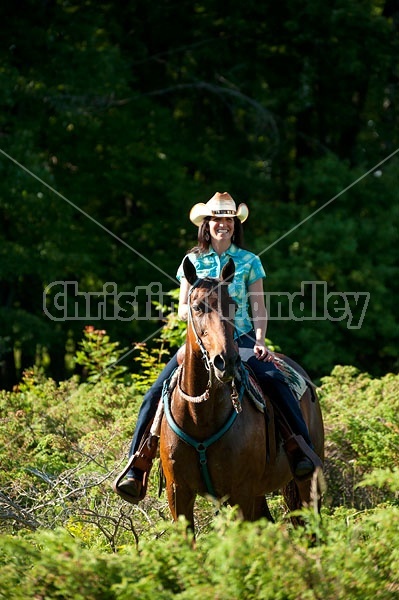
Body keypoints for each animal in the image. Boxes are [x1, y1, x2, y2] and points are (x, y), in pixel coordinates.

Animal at [159, 256, 324, 528]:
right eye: (197, 307)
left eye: (233, 306)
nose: (226, 361)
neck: (200, 417)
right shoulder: (178, 493)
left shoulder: (240, 493)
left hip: (306, 483)